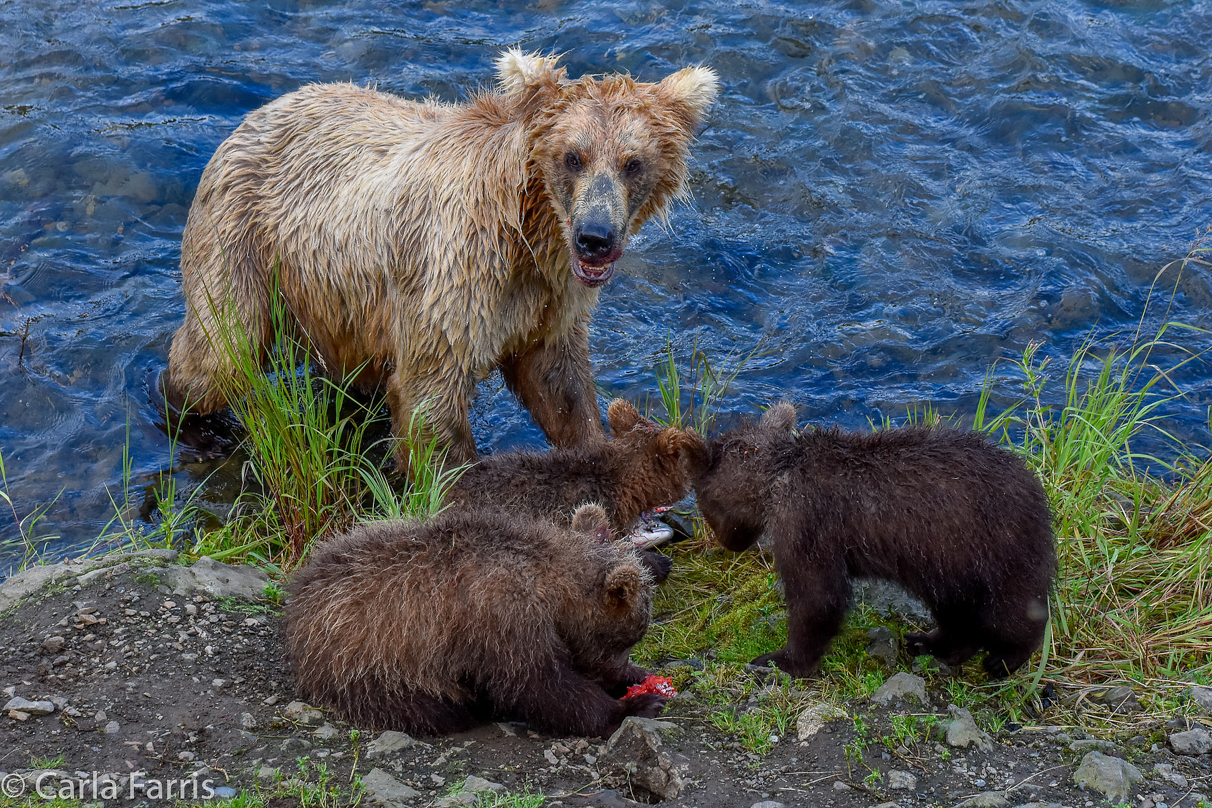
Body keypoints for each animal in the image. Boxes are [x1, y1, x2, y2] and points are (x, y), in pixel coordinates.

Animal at [164, 50, 717, 467]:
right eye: (573, 156)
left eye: (632, 163)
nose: (595, 237)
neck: (530, 233)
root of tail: (260, 111)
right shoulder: (455, 276)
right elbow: (431, 399)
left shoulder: (551, 300)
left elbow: (559, 384)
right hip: (245, 235)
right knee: (221, 350)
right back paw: (190, 418)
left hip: (343, 301)